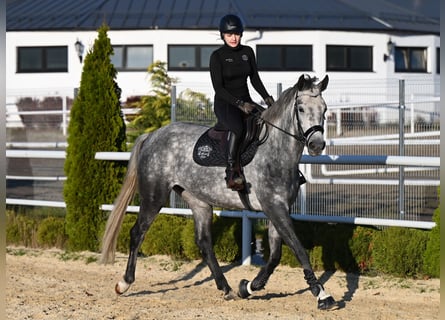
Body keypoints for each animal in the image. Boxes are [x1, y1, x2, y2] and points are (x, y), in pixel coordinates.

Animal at [99, 73, 336, 310]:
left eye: (324, 109)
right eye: (301, 109)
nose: (316, 145)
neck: (275, 151)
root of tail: (152, 135)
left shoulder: (279, 209)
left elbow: (276, 256)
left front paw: (248, 287)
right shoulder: (274, 207)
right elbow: (299, 249)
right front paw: (322, 295)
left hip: (198, 202)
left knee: (204, 242)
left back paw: (227, 288)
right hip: (154, 196)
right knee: (137, 233)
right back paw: (124, 283)